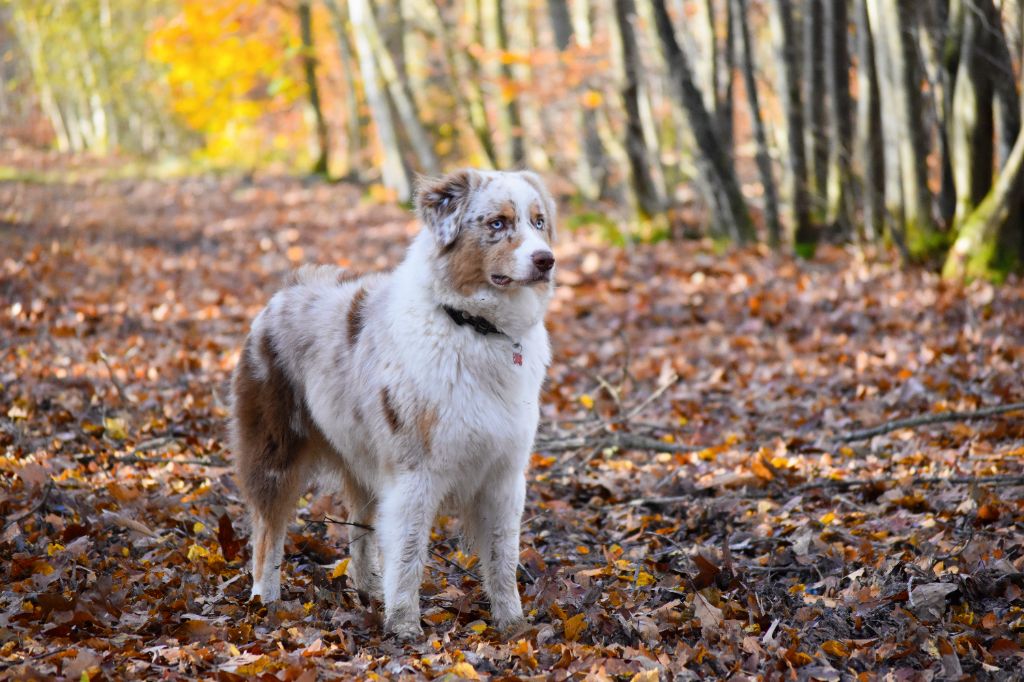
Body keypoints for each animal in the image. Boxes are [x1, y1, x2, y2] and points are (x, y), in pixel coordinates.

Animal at [229, 165, 557, 638]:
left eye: (538, 222)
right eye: (497, 223)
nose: (546, 259)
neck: (476, 328)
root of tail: (287, 290)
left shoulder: (504, 473)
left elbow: (503, 557)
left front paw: (512, 624)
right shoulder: (414, 474)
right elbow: (407, 553)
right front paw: (404, 626)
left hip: (360, 459)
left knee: (361, 532)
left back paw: (367, 590)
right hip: (275, 454)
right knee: (268, 534)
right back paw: (265, 602)